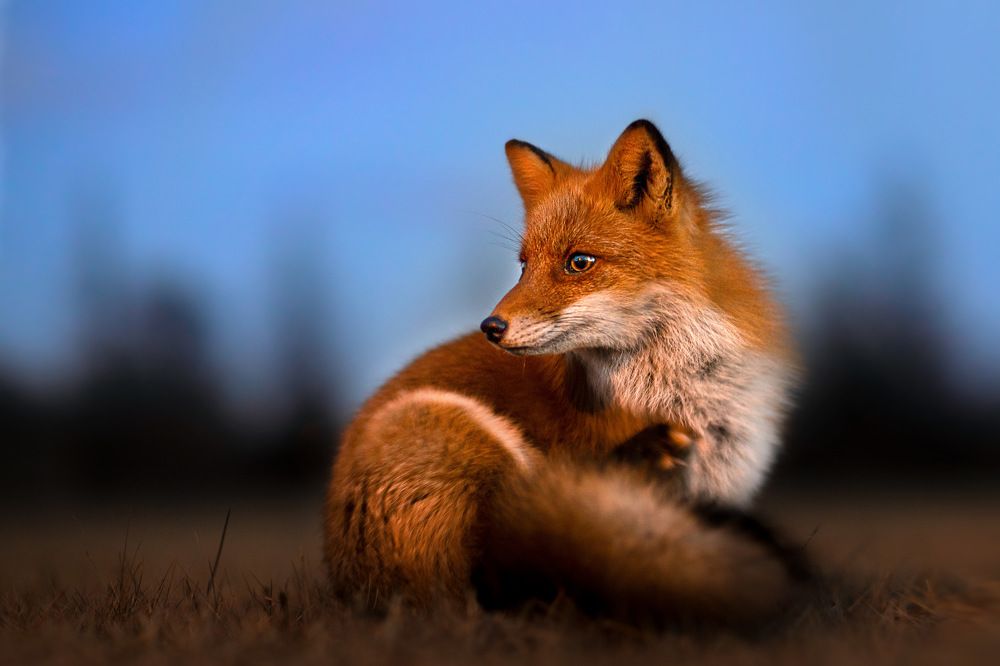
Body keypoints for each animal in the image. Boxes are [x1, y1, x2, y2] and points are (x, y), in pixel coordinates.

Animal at [324, 119, 801, 624]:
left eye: (578, 262)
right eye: (524, 265)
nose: (491, 327)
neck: (686, 397)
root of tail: (355, 589)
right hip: (463, 432)